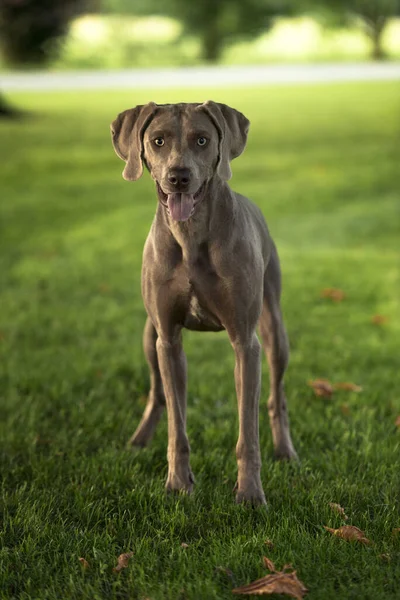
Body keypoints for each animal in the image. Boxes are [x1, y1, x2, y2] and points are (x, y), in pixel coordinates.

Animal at [111, 103, 298, 506]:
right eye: (158, 141)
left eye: (202, 140)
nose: (178, 177)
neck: (190, 234)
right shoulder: (168, 339)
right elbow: (176, 423)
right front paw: (178, 484)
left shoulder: (245, 343)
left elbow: (248, 430)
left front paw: (250, 493)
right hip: (148, 337)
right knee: (156, 392)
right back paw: (140, 438)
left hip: (275, 331)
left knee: (276, 396)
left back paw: (286, 451)